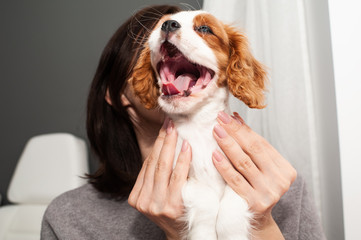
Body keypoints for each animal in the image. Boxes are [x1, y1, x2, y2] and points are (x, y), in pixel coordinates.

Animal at [129, 9, 268, 240]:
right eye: (159, 25)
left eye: (204, 29)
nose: (168, 24)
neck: (197, 123)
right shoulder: (177, 176)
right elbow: (205, 199)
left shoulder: (243, 174)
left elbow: (233, 203)